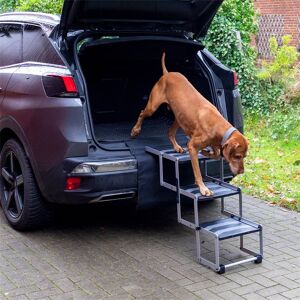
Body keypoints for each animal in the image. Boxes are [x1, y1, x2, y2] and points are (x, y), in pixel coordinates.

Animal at [132, 52, 248, 196]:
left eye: (245, 156)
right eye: (237, 156)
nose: (242, 172)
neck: (217, 124)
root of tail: (167, 73)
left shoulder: (215, 143)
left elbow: (216, 154)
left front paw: (205, 153)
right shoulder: (192, 146)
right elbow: (197, 171)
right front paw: (203, 189)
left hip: (179, 118)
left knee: (170, 132)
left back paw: (177, 147)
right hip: (153, 107)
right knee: (142, 113)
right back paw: (135, 130)